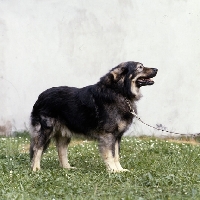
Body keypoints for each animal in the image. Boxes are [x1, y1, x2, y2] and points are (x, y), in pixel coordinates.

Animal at [29, 61, 158, 172]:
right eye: (140, 67)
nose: (156, 69)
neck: (120, 92)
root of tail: (40, 97)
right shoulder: (108, 135)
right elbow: (110, 154)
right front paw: (113, 170)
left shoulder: (117, 136)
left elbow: (116, 155)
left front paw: (120, 170)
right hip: (46, 130)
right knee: (37, 148)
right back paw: (36, 168)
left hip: (64, 134)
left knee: (61, 150)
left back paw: (67, 168)